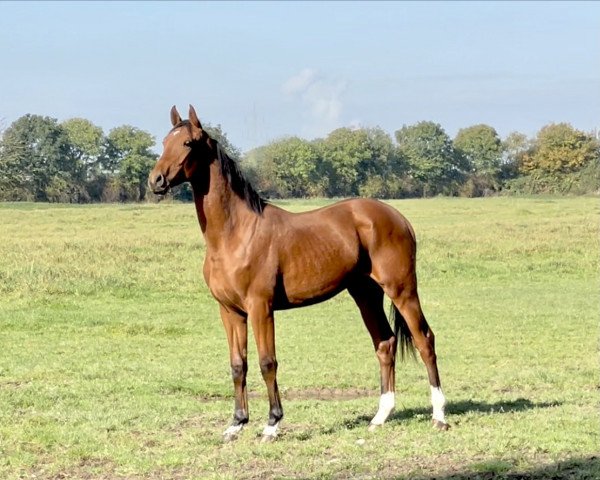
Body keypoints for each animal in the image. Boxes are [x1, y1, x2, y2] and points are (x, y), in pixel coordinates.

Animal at [149, 105, 450, 442]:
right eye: (164, 141)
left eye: (188, 143)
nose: (156, 180)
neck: (235, 234)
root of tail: (398, 218)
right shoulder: (230, 311)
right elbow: (238, 365)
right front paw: (236, 423)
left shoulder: (260, 307)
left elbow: (267, 362)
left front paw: (272, 424)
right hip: (365, 293)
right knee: (385, 343)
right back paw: (379, 417)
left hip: (402, 289)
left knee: (425, 340)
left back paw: (439, 416)